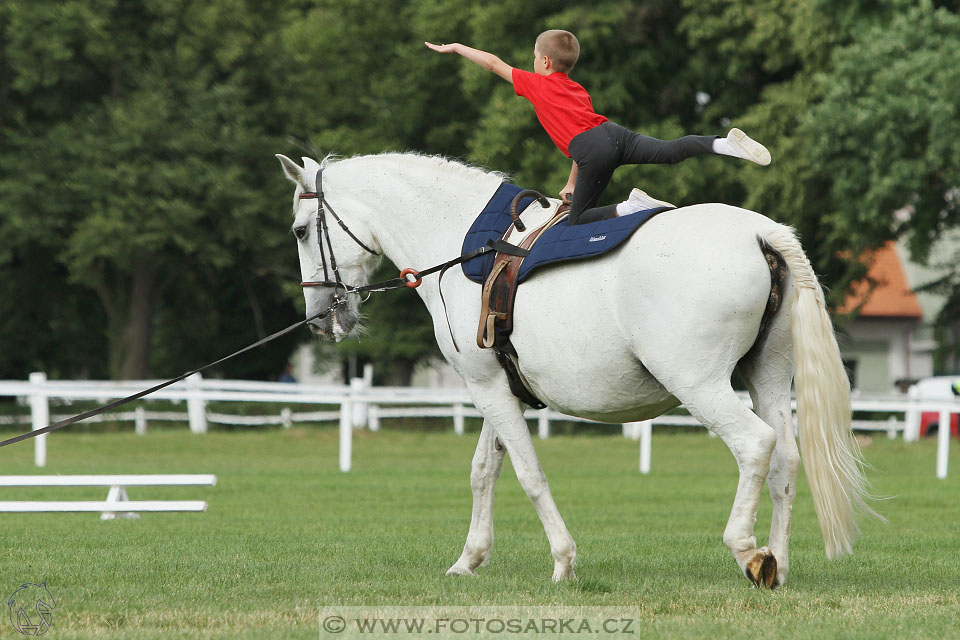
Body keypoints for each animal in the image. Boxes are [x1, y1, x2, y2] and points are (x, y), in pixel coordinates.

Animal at [274, 152, 872, 588]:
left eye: (301, 230)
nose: (319, 318)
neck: (463, 246)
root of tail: (759, 232)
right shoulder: (495, 387)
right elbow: (484, 471)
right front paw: (470, 559)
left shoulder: (488, 389)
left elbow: (529, 474)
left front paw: (562, 560)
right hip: (766, 379)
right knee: (786, 460)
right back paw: (778, 562)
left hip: (702, 386)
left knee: (755, 445)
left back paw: (747, 550)